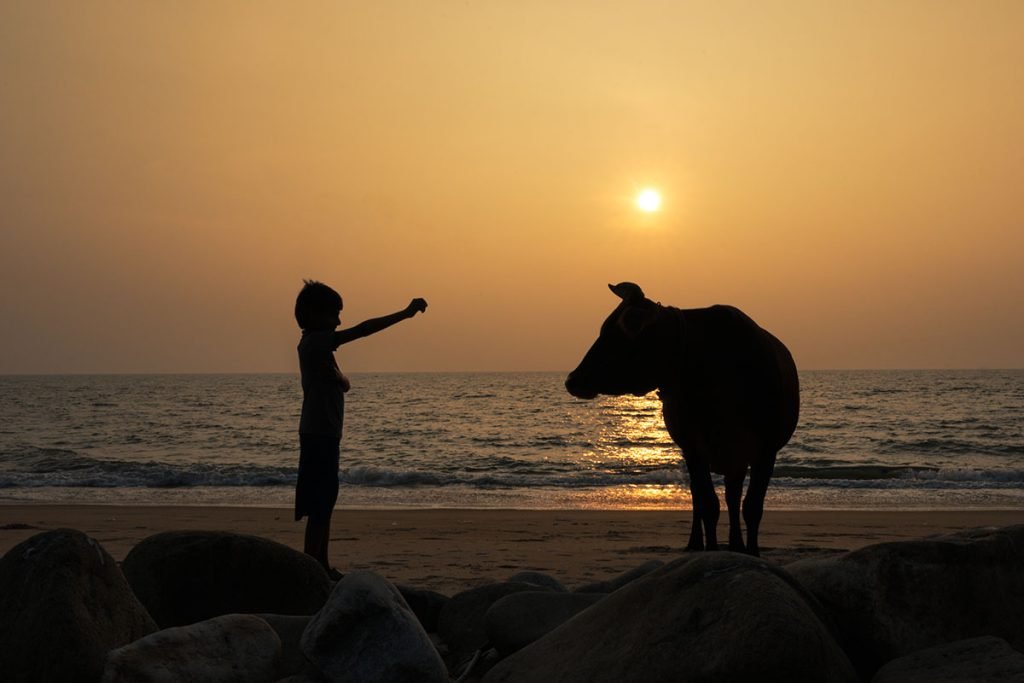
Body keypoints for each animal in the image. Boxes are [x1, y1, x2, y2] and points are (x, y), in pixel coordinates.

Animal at [565, 282, 799, 556]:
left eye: (614, 334)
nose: (572, 379)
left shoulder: (765, 450)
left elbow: (751, 507)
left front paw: (751, 553)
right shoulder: (694, 448)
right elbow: (708, 505)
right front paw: (710, 552)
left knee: (732, 497)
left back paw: (736, 545)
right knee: (700, 498)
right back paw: (696, 544)